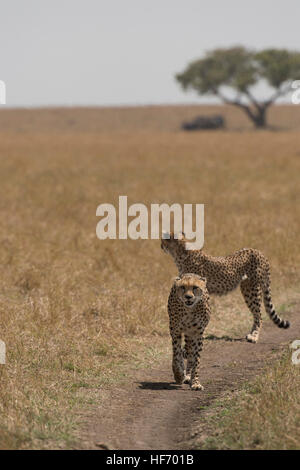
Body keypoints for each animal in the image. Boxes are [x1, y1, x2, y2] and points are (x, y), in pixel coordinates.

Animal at [162, 233, 290, 344]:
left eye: (164, 240)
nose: (161, 245)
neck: (181, 252)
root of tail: (257, 251)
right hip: (247, 288)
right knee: (256, 313)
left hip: (252, 288)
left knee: (259, 315)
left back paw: (254, 336)